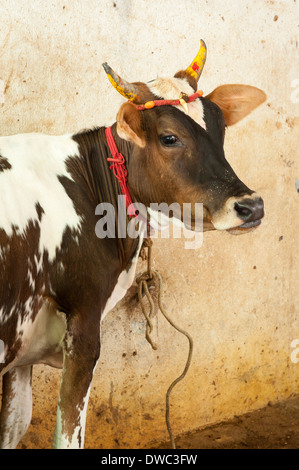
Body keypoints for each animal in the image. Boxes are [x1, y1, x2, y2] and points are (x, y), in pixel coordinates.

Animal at [0, 42, 268, 450]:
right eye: (169, 137)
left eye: (221, 127)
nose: (251, 206)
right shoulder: (83, 326)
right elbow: (67, 435)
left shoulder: (24, 347)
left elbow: (14, 426)